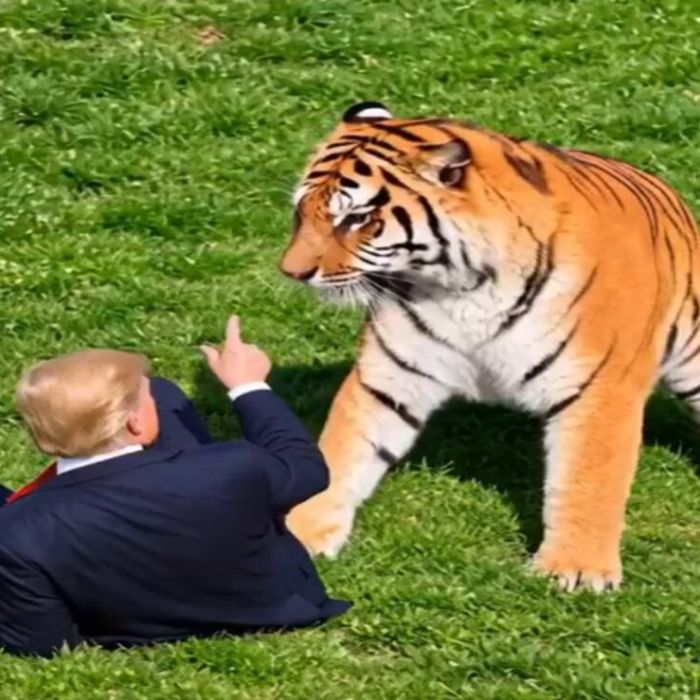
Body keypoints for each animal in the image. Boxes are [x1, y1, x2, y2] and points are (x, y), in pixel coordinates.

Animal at [279, 101, 700, 592]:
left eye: (357, 219)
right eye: (302, 212)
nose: (291, 272)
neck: (463, 287)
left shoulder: (599, 387)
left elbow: (589, 479)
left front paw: (575, 570)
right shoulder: (388, 377)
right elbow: (341, 452)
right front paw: (298, 535)